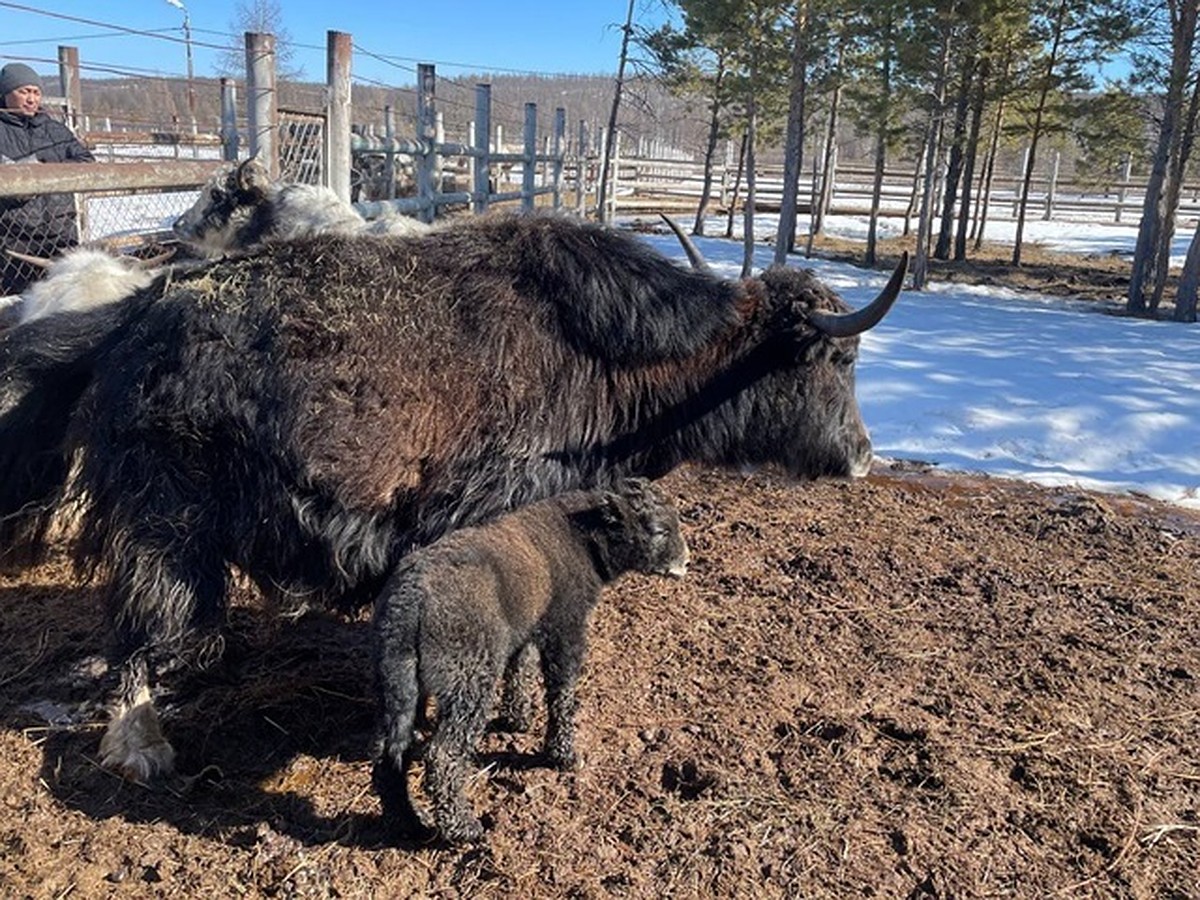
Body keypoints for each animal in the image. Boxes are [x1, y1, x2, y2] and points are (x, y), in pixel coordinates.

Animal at [369, 482, 691, 844]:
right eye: (658, 530)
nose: (686, 561)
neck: (584, 536)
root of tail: (410, 604)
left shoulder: (526, 627)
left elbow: (520, 667)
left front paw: (517, 719)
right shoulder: (565, 628)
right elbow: (561, 692)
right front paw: (563, 754)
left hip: (395, 684)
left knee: (390, 753)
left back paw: (407, 822)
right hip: (468, 681)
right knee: (443, 755)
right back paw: (463, 827)